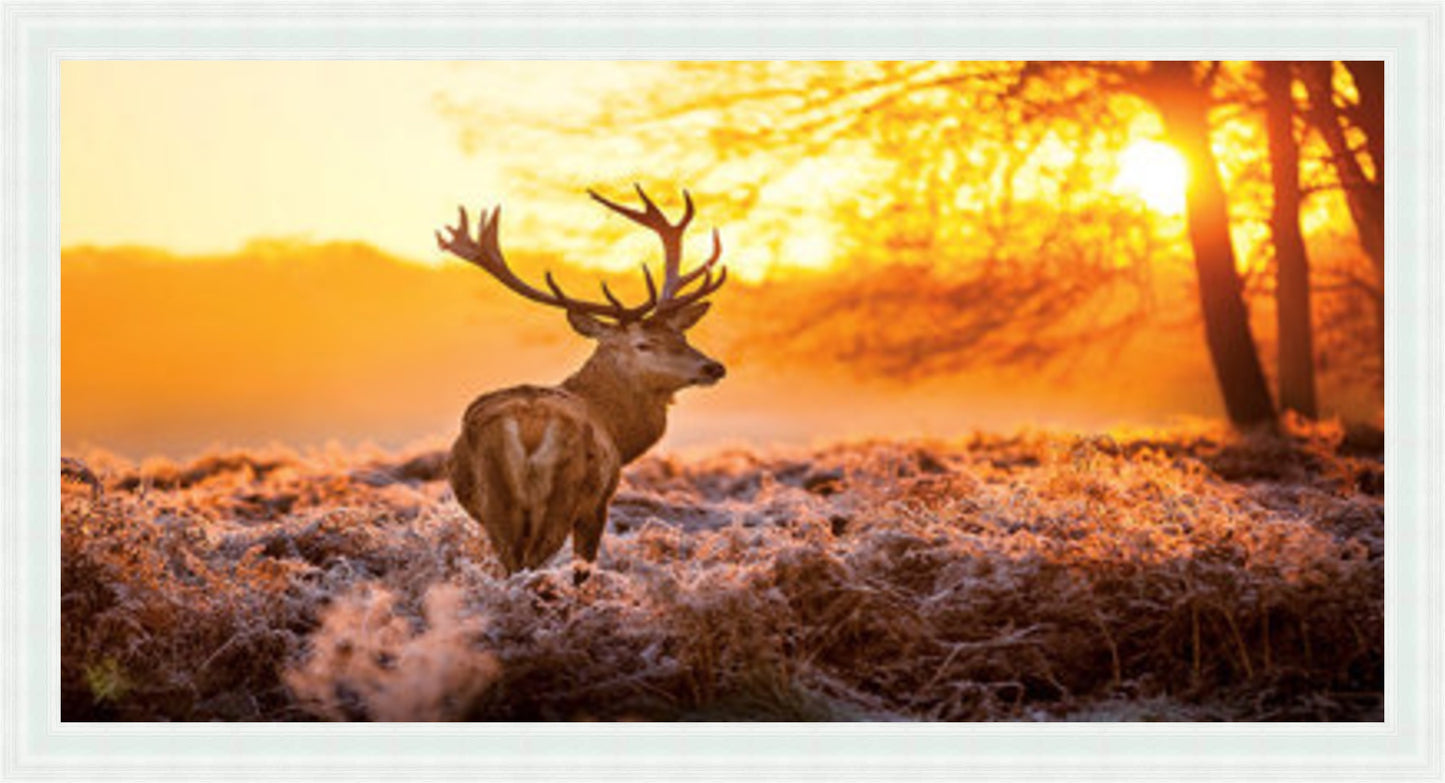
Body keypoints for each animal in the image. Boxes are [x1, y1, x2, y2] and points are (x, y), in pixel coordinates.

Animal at [436, 185, 728, 586]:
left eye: (681, 335)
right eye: (643, 344)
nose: (713, 366)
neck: (618, 433)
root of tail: (527, 426)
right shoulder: (599, 502)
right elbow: (583, 570)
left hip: (497, 505)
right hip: (562, 496)